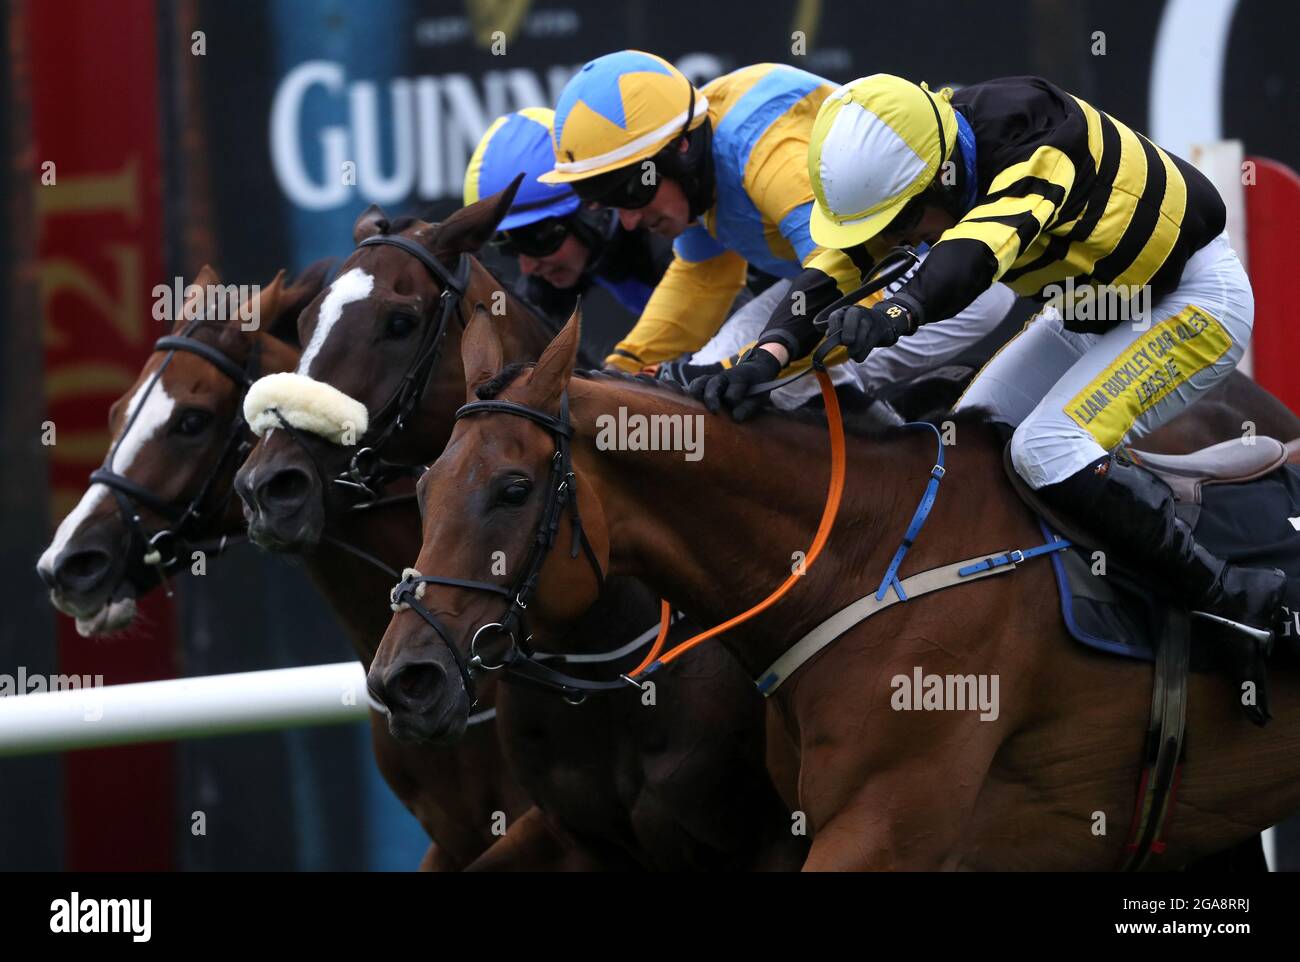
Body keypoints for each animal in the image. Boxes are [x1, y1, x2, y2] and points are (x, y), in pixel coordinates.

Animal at [228, 193, 806, 873]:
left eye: (399, 322)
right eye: (304, 321)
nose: (267, 485)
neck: (604, 662)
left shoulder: (771, 836)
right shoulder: (572, 837)